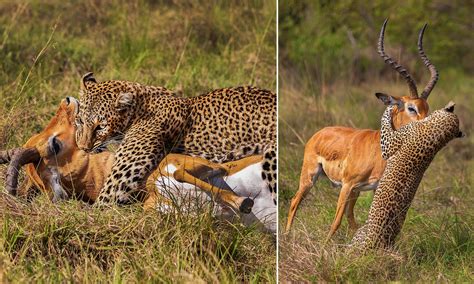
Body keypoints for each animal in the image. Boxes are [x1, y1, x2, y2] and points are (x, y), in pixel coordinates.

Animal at [352, 100, 462, 251]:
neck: (439, 135)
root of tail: (377, 244)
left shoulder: (389, 144)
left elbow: (385, 124)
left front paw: (390, 108)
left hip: (359, 233)